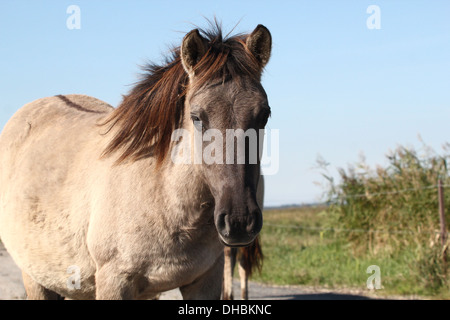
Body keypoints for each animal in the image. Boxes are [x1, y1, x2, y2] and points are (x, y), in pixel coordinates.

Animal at [0, 23, 270, 300]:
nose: (239, 221)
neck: (163, 195)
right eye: (197, 117)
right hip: (36, 279)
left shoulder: (205, 280)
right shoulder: (114, 282)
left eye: (264, 115)